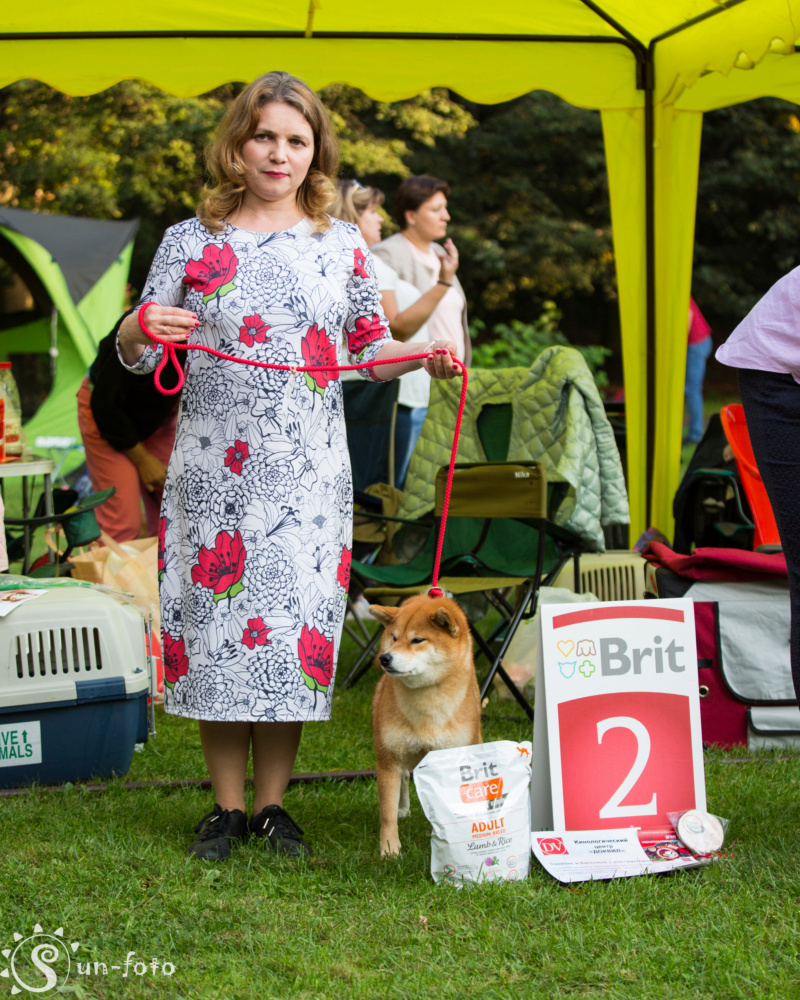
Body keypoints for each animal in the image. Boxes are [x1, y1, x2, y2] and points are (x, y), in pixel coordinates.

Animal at [368, 588, 482, 856]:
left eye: (417, 640)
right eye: (394, 637)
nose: (384, 658)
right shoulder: (388, 757)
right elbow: (386, 812)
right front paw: (390, 850)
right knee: (403, 778)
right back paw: (403, 808)